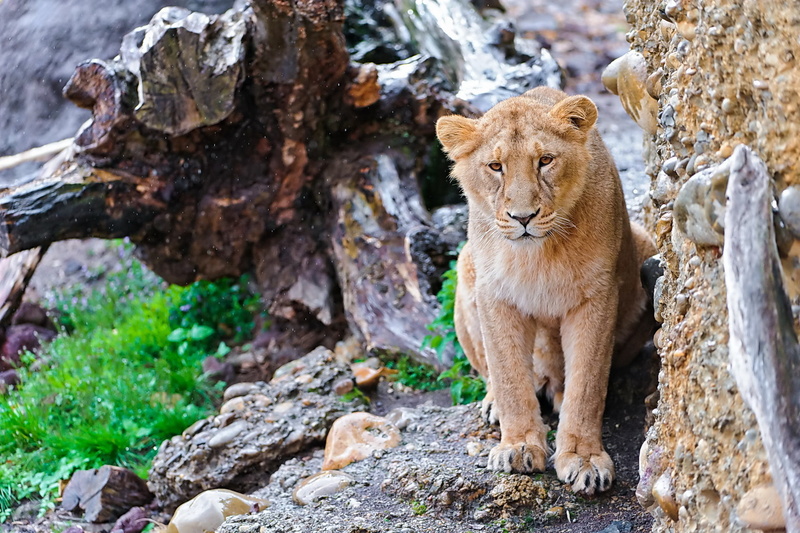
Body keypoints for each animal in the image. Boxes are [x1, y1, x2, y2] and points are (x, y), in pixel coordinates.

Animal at [435, 86, 656, 495]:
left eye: (545, 161)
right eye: (495, 166)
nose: (523, 217)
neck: (538, 254)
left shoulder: (596, 297)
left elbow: (587, 384)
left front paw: (584, 459)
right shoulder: (495, 295)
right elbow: (508, 376)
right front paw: (519, 446)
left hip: (646, 248)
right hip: (465, 263)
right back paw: (494, 405)